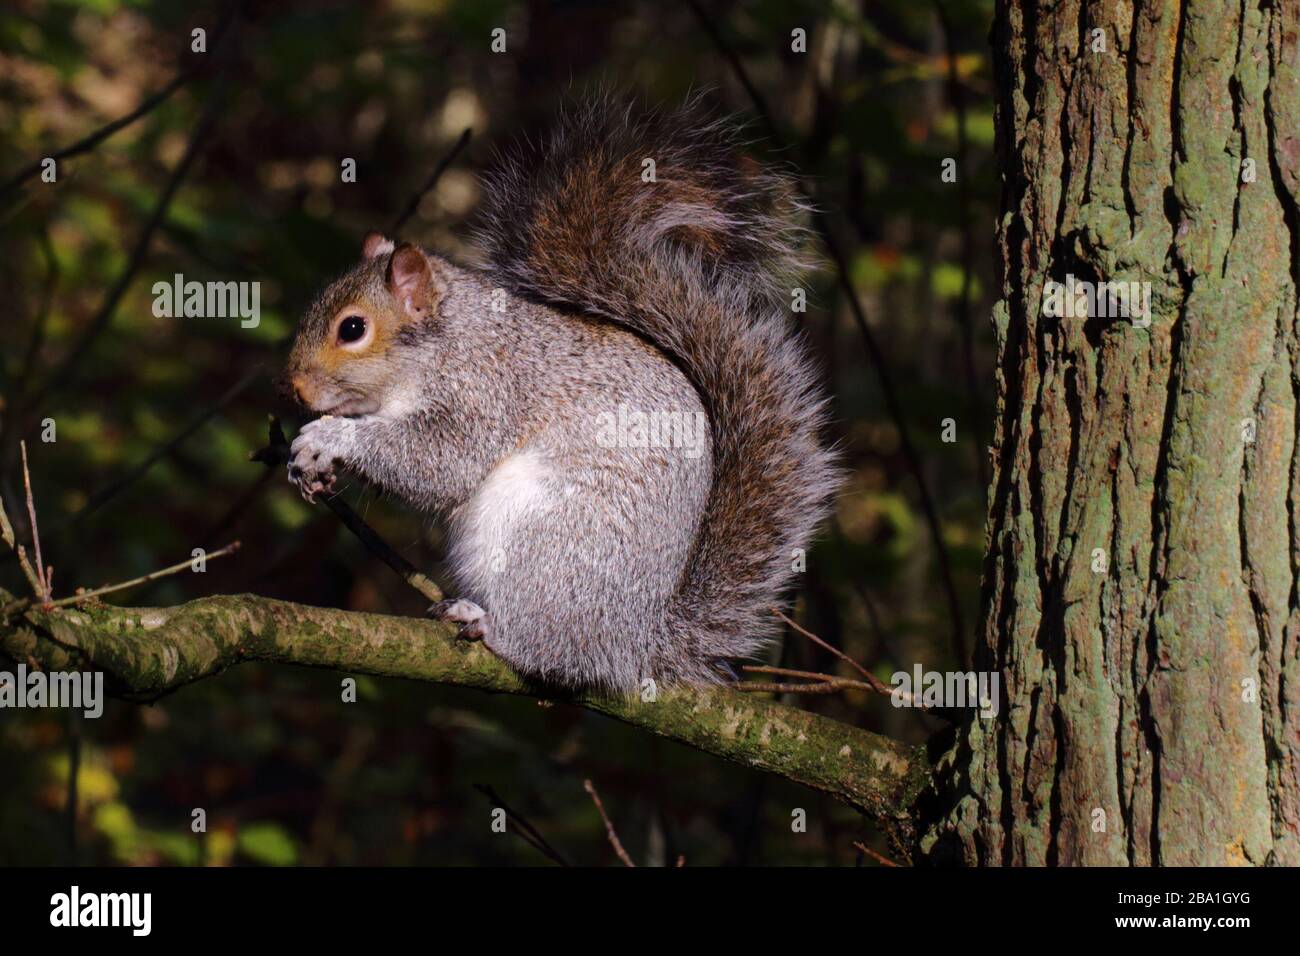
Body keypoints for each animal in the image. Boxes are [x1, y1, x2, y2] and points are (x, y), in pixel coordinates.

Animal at [281, 97, 839, 691]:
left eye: (352, 329)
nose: (294, 386)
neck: (445, 342)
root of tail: (634, 644)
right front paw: (310, 463)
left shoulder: (486, 387)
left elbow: (442, 463)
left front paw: (330, 438)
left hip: (552, 542)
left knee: (551, 650)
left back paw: (490, 626)